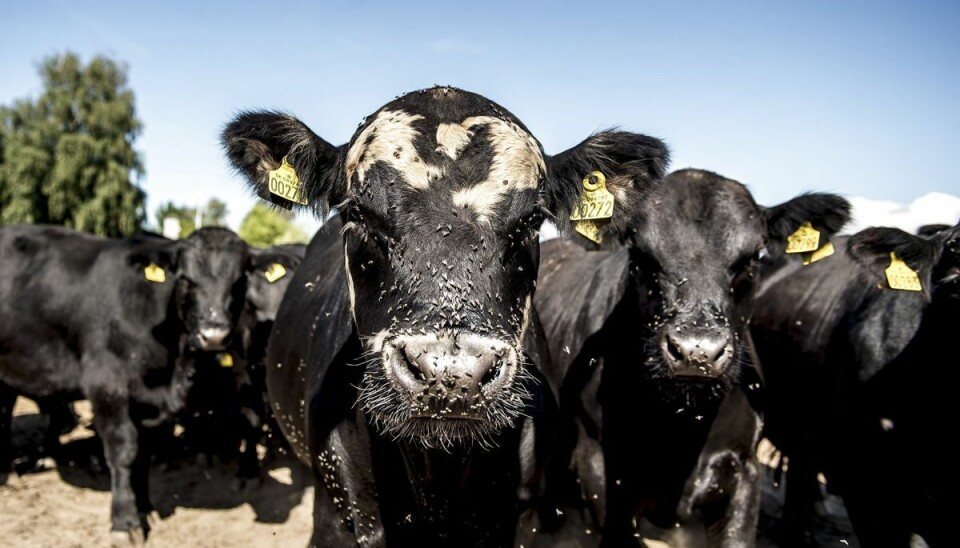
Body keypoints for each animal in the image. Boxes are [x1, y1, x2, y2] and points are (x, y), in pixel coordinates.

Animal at [0, 224, 251, 544]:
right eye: (185, 279)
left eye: (240, 280)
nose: (214, 335)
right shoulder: (106, 384)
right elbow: (124, 450)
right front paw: (125, 521)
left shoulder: (147, 400)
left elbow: (143, 453)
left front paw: (145, 508)